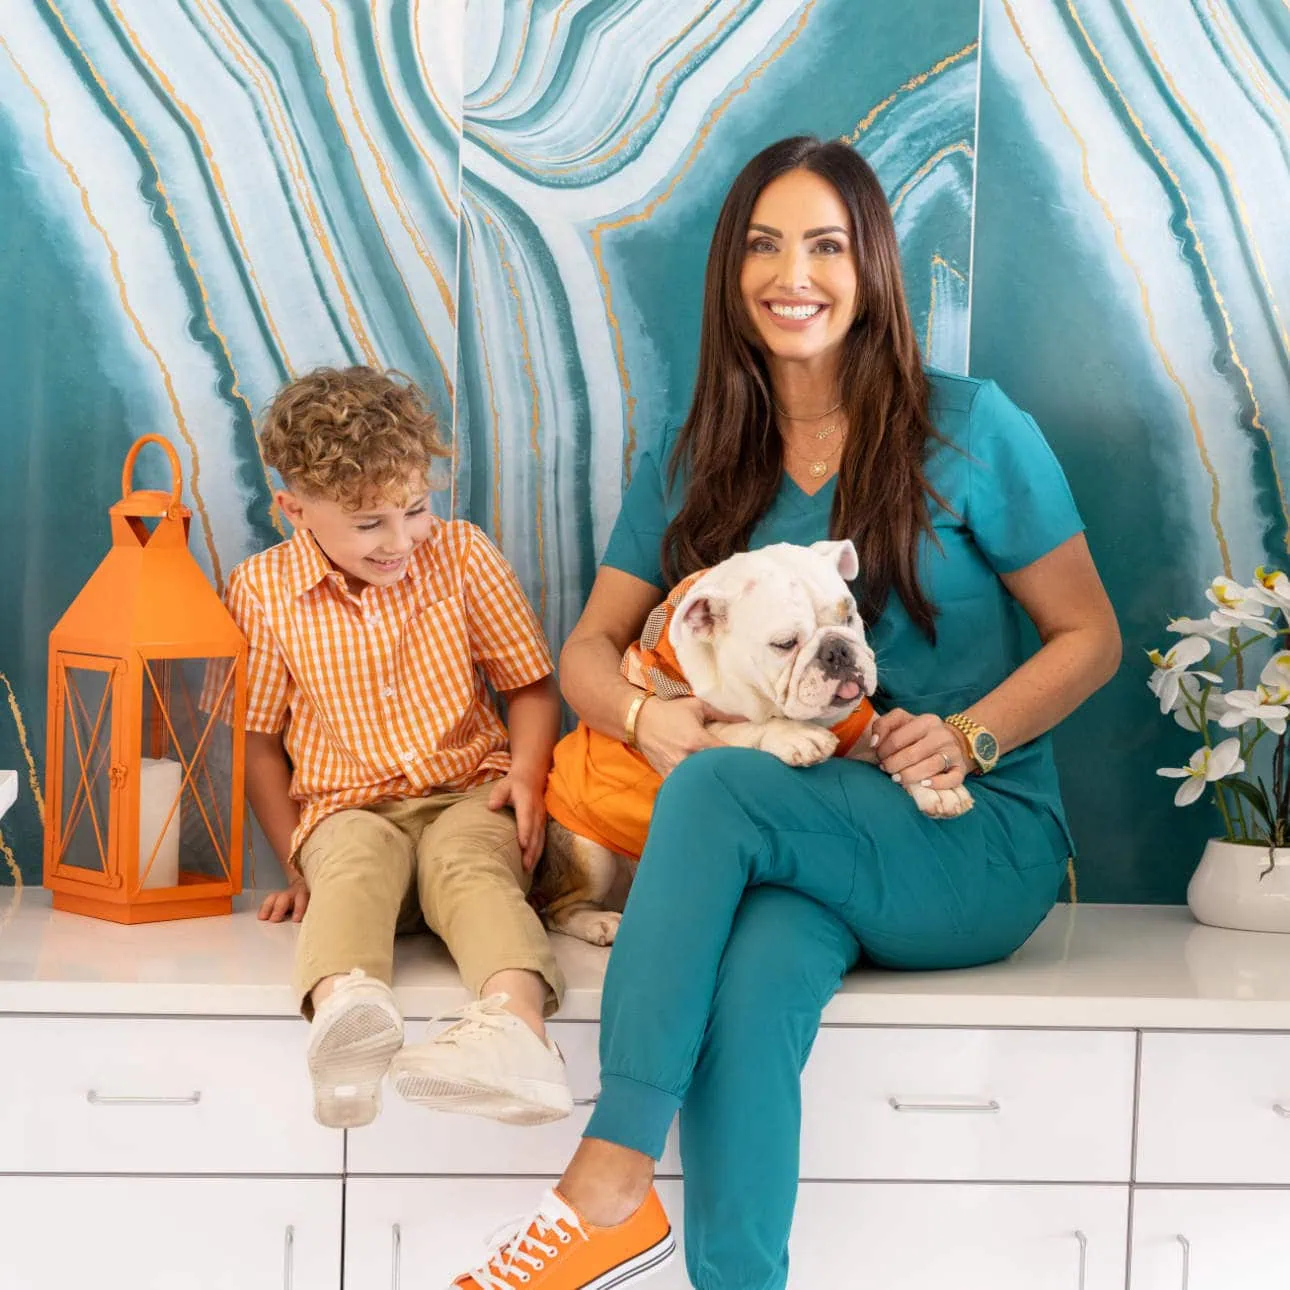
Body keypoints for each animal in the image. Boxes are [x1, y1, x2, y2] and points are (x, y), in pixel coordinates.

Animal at [534, 540, 973, 945]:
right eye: (785, 643)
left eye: (848, 615)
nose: (836, 650)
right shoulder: (695, 723)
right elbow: (748, 729)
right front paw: (794, 736)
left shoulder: (859, 726)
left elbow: (892, 744)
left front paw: (935, 785)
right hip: (590, 855)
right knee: (553, 909)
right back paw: (598, 924)